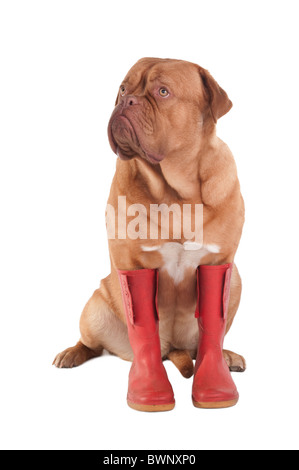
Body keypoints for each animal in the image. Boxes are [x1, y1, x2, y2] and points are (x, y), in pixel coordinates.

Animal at [53, 57, 246, 378]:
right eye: (122, 88)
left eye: (162, 91)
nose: (126, 100)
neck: (175, 191)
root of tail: (172, 349)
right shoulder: (130, 262)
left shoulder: (220, 261)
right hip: (95, 306)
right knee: (93, 342)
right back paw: (72, 353)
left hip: (235, 283)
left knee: (205, 342)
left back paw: (225, 357)